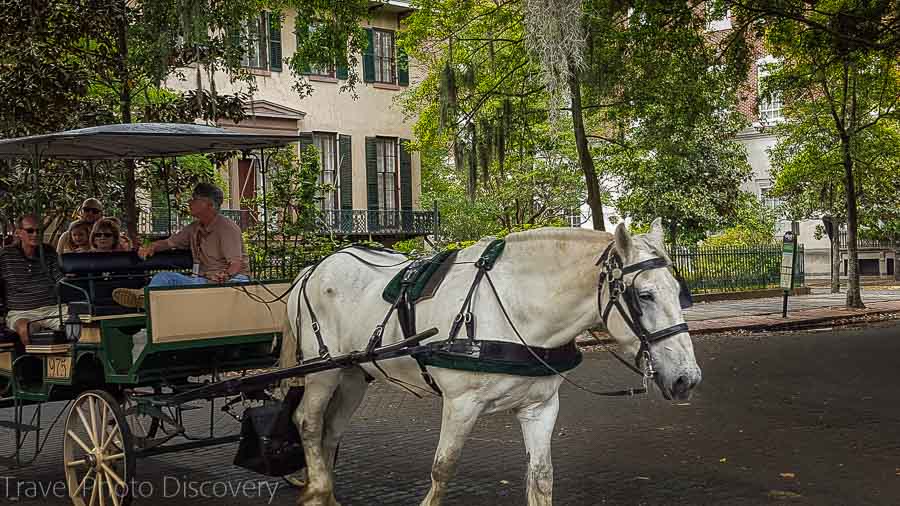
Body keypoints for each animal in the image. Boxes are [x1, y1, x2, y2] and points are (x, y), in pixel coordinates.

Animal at [282, 218, 704, 506]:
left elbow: (542, 477)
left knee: (331, 429)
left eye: (679, 291)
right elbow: (443, 469)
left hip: (353, 373)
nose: (688, 378)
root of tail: (313, 269)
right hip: (324, 370)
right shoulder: (461, 404)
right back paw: (317, 490)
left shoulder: (540, 406)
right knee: (308, 421)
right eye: (645, 295)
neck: (518, 308)